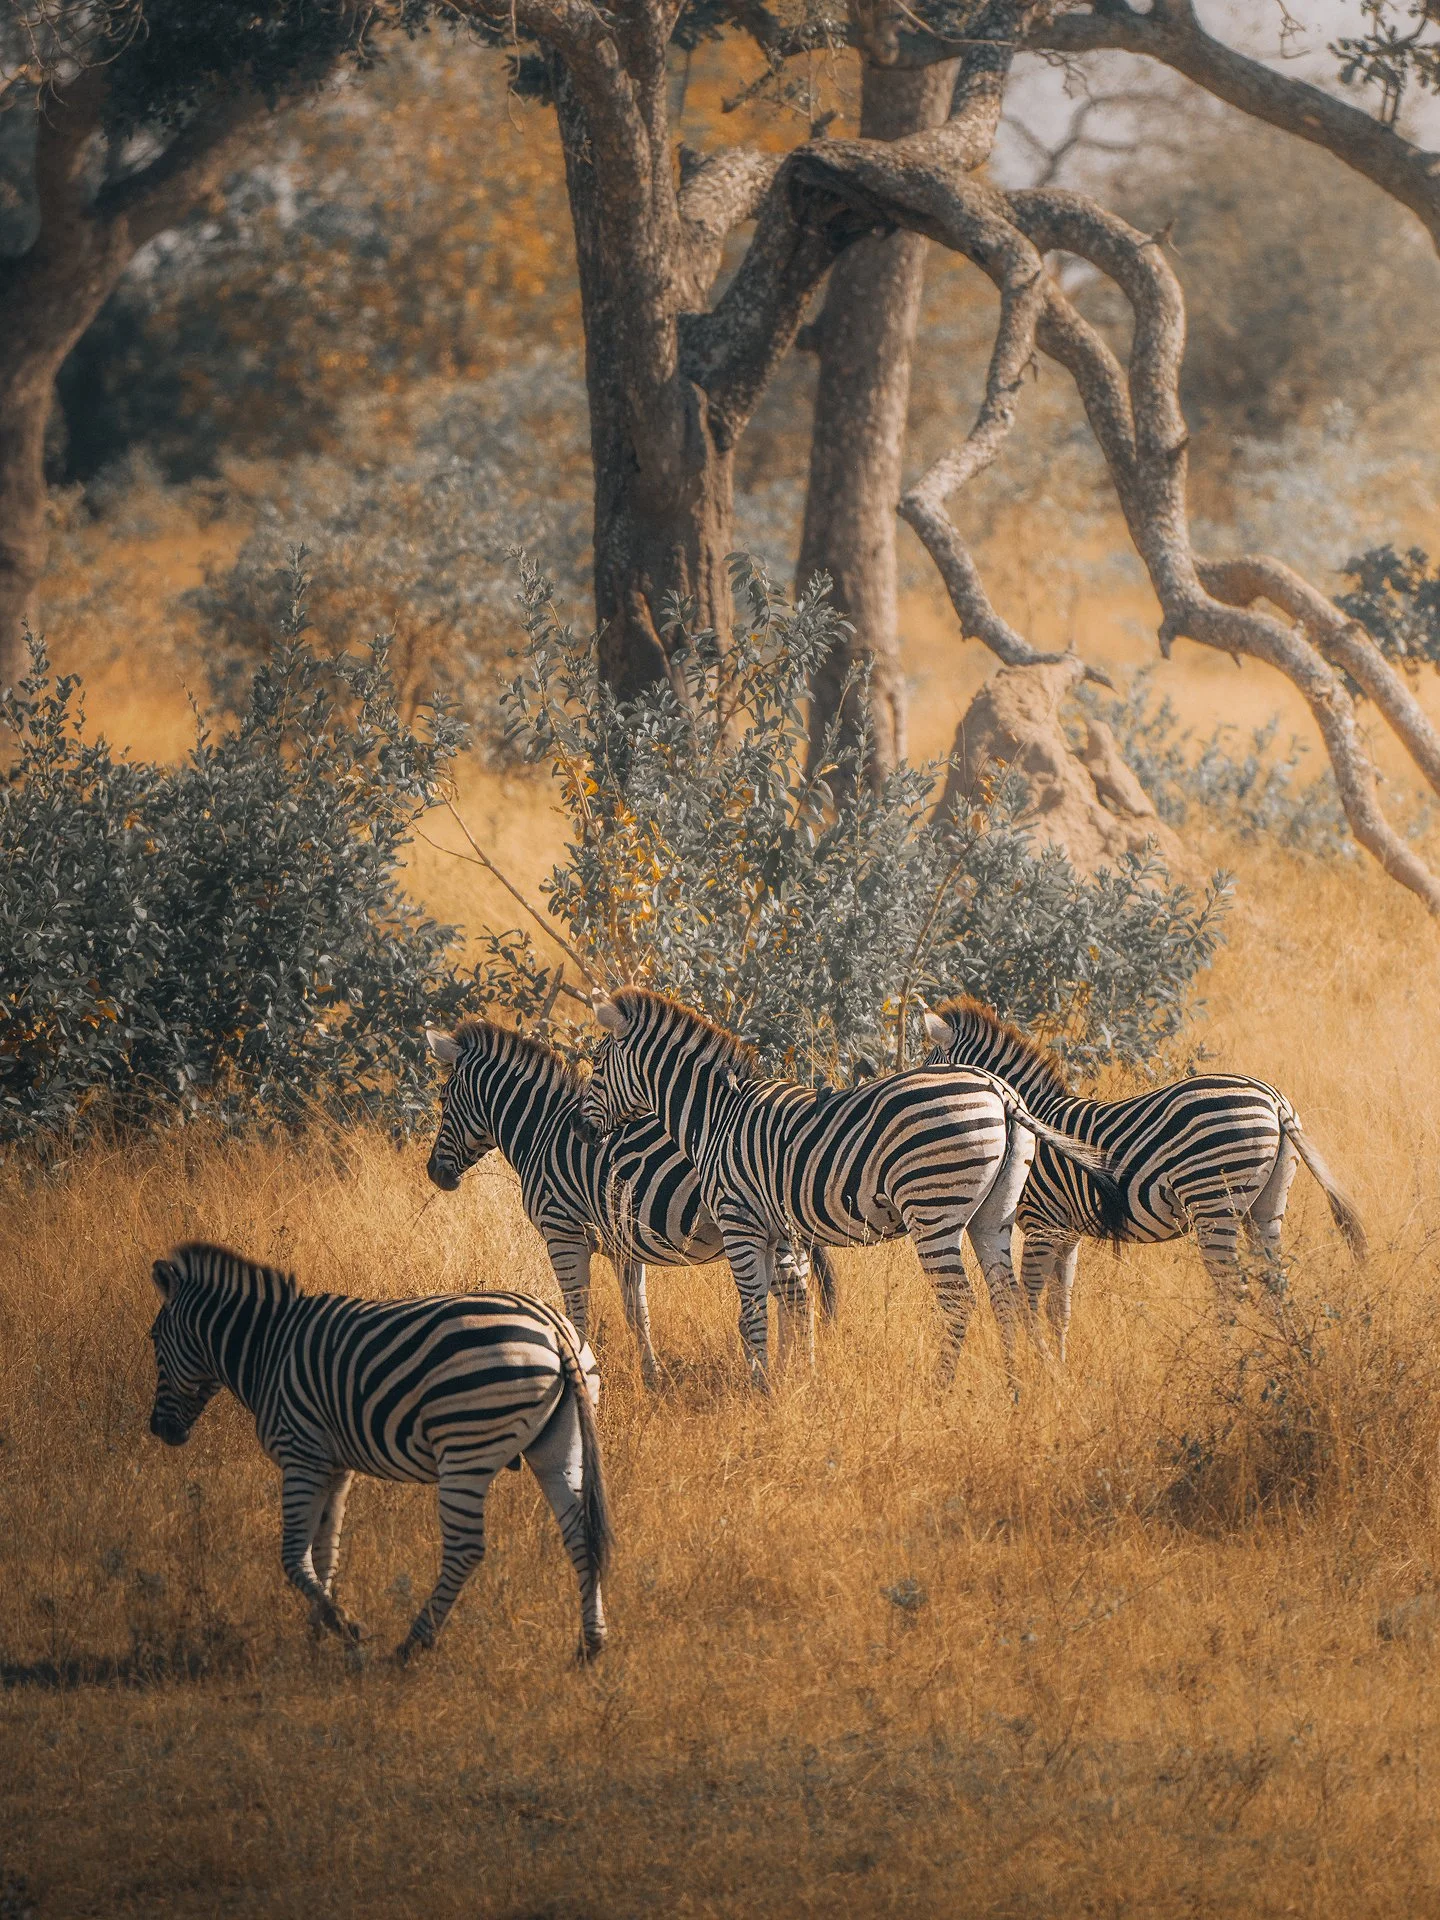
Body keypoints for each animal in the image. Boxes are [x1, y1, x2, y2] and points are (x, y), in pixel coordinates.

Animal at [147, 1242, 612, 1662]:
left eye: (153, 1340)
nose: (159, 1430)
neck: (267, 1349)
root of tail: (552, 1325)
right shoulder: (335, 1466)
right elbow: (325, 1551)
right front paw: (317, 1633)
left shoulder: (302, 1453)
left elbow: (293, 1555)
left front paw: (343, 1626)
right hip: (559, 1444)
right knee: (579, 1534)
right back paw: (590, 1645)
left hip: (465, 1447)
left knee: (466, 1549)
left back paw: (412, 1644)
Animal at [424, 1019, 837, 1381]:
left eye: (443, 1099)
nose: (433, 1173)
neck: (541, 1132)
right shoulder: (622, 1247)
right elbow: (637, 1314)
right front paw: (651, 1376)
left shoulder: (563, 1232)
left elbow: (577, 1312)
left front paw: (582, 1371)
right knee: (794, 1303)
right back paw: (791, 1373)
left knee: (795, 1301)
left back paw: (793, 1377)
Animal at [577, 987, 1124, 1382]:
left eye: (597, 1067)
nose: (581, 1131)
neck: (716, 1115)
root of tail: (1000, 1090)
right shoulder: (781, 1231)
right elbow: (794, 1308)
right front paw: (796, 1384)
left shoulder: (739, 1222)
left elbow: (754, 1315)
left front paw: (762, 1393)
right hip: (994, 1214)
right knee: (1006, 1297)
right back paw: (1016, 1390)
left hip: (933, 1209)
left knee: (958, 1301)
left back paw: (941, 1389)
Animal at [921, 996, 1368, 1360]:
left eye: (927, 1065)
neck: (1026, 1111)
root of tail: (1273, 1100)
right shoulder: (1067, 1233)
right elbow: (1058, 1308)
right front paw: (1058, 1369)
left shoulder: (1041, 1224)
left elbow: (1029, 1300)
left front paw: (1039, 1367)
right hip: (1265, 1205)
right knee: (1277, 1283)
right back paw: (1293, 1361)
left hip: (1214, 1200)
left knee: (1231, 1291)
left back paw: (1225, 1361)